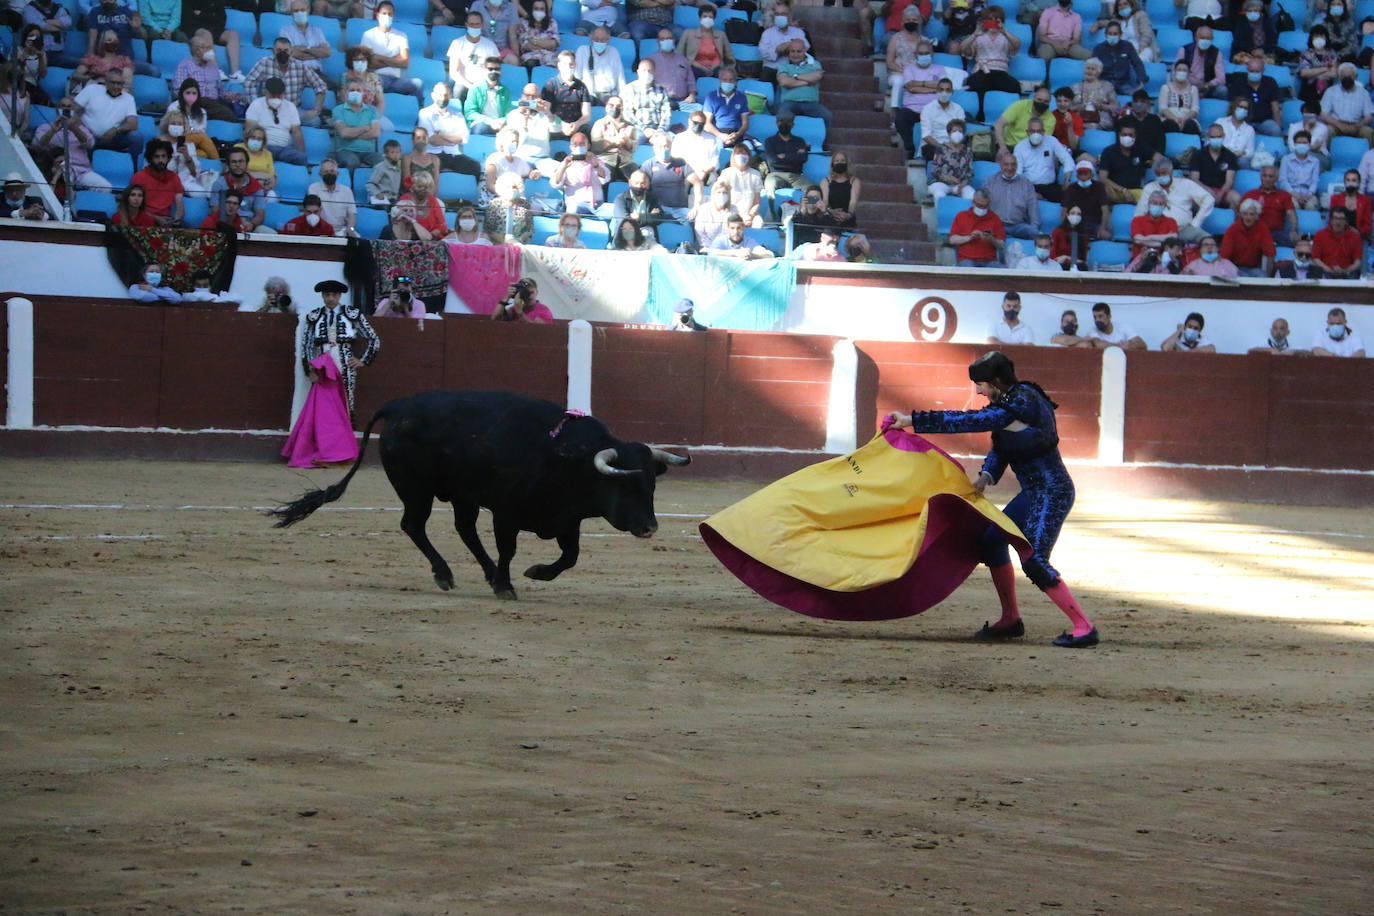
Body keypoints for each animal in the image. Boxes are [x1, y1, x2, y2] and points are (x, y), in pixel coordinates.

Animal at [269, 390, 692, 598]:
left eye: (652, 486)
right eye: (624, 483)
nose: (650, 528)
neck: (568, 456)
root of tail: (398, 406)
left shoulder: (565, 518)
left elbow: (569, 556)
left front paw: (536, 573)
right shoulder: (506, 513)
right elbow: (509, 548)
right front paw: (507, 586)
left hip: (462, 495)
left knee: (464, 529)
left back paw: (482, 574)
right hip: (417, 489)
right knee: (414, 525)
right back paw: (446, 575)